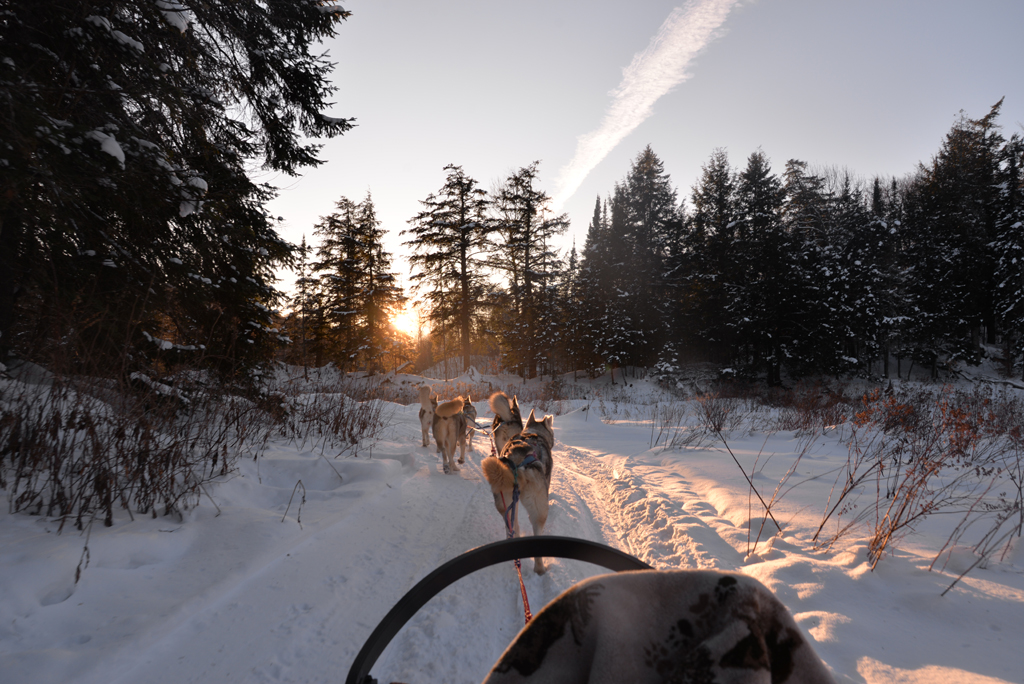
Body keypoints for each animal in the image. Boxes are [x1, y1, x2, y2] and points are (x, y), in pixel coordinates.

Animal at [479, 409, 552, 573]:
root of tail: (518, 465)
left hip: (505, 504)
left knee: (513, 528)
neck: (533, 434)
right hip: (539, 513)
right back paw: (540, 569)